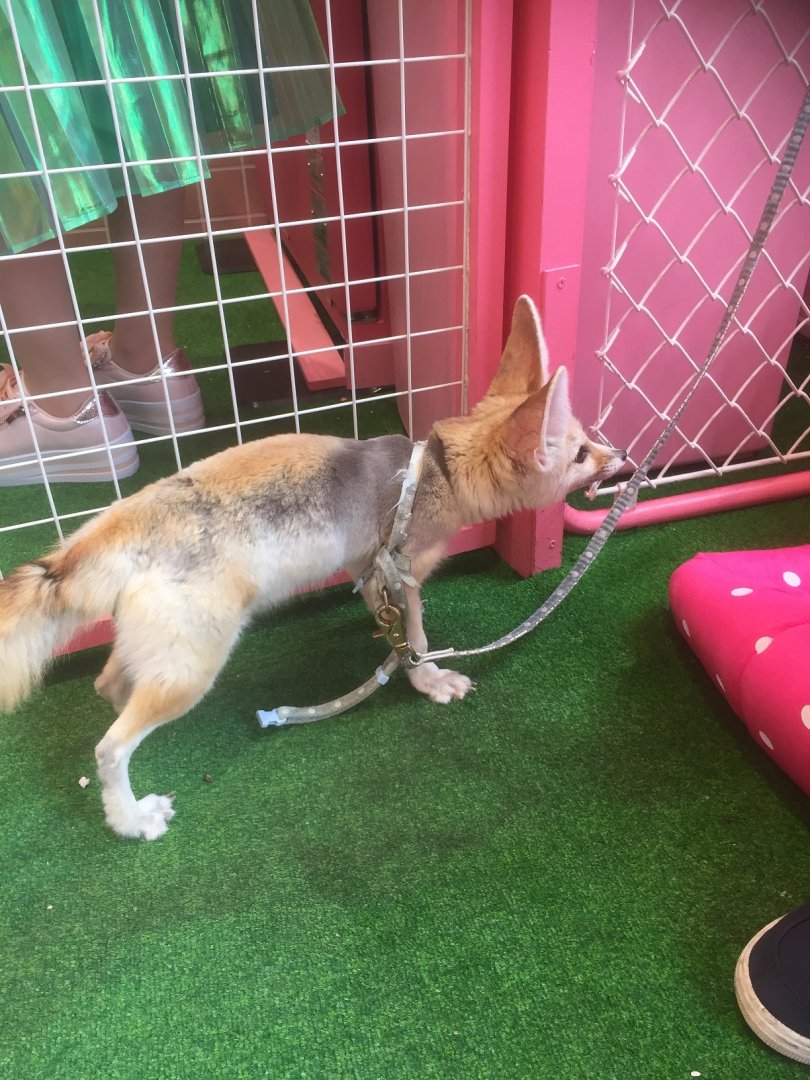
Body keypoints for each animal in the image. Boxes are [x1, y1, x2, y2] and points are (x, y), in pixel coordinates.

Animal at [0, 295, 625, 840]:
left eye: (588, 442)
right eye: (578, 455)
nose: (621, 455)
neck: (436, 473)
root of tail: (119, 521)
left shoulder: (368, 572)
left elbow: (393, 629)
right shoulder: (398, 574)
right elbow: (415, 642)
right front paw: (428, 681)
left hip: (162, 650)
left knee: (110, 685)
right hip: (191, 669)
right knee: (109, 748)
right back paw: (130, 820)